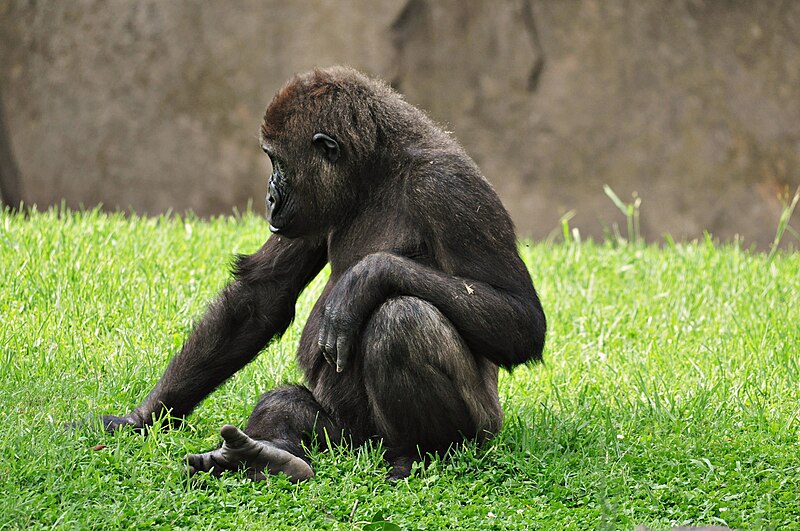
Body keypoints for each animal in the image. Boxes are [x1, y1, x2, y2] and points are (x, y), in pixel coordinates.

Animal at [97, 65, 548, 482]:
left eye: (277, 161)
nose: (269, 196)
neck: (377, 168)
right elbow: (261, 295)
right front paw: (143, 418)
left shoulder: (448, 186)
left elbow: (520, 317)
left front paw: (365, 279)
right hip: (346, 439)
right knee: (287, 405)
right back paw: (267, 455)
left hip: (479, 431)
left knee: (402, 320)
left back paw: (420, 454)